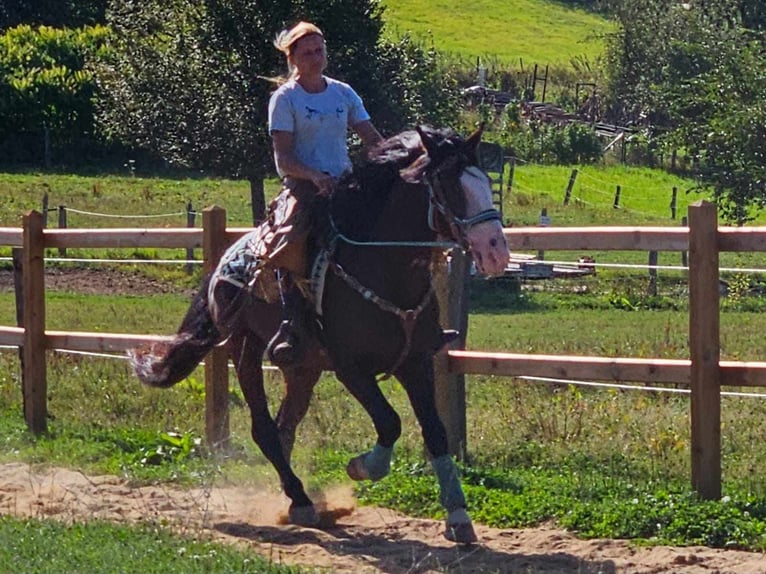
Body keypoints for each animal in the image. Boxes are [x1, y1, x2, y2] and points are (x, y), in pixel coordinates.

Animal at [130, 126, 512, 544]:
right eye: (449, 185)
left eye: (484, 182)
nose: (496, 252)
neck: (384, 269)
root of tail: (223, 262)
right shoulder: (351, 369)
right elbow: (390, 422)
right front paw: (362, 466)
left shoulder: (416, 363)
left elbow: (435, 432)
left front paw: (458, 515)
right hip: (245, 348)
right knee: (265, 429)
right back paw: (301, 501)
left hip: (303, 368)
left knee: (285, 427)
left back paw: (292, 497)